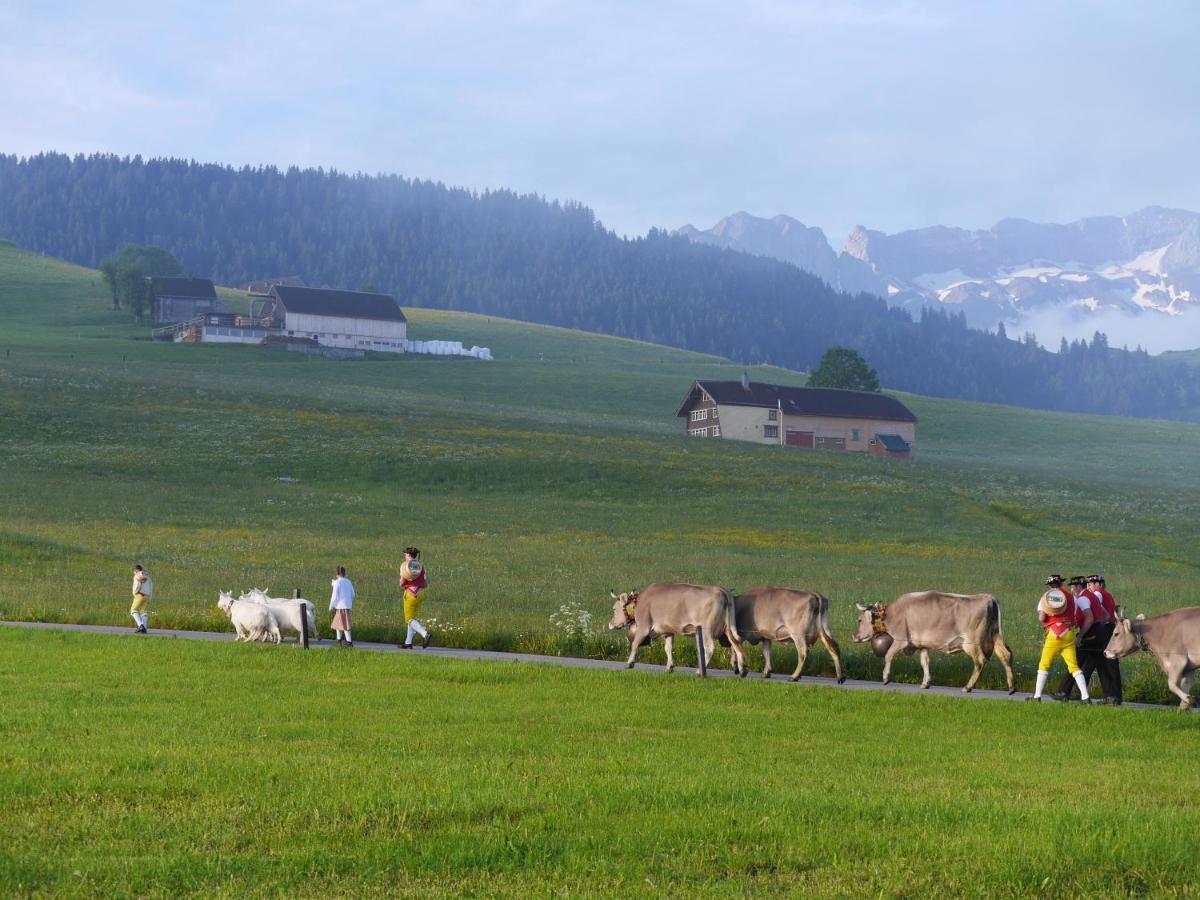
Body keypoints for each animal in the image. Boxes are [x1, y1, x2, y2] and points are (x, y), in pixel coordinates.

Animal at [614, 585, 744, 676]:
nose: (611, 624)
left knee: (710, 648)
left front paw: (630, 663)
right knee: (735, 644)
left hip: (706, 630)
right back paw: (741, 669)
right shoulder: (668, 631)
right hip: (728, 628)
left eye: (614, 609)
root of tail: (722, 591)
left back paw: (699, 671)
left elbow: (635, 644)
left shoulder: (644, 626)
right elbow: (668, 648)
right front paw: (669, 667)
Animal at [854, 595, 1012, 696]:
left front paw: (886, 678)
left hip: (971, 642)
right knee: (1006, 655)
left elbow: (888, 655)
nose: (854, 636)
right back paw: (1011, 688)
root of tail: (988, 598)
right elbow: (925, 662)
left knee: (979, 661)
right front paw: (926, 683)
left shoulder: (901, 640)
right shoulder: (923, 645)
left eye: (859, 620)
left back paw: (968, 687)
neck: (892, 614)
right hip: (995, 636)